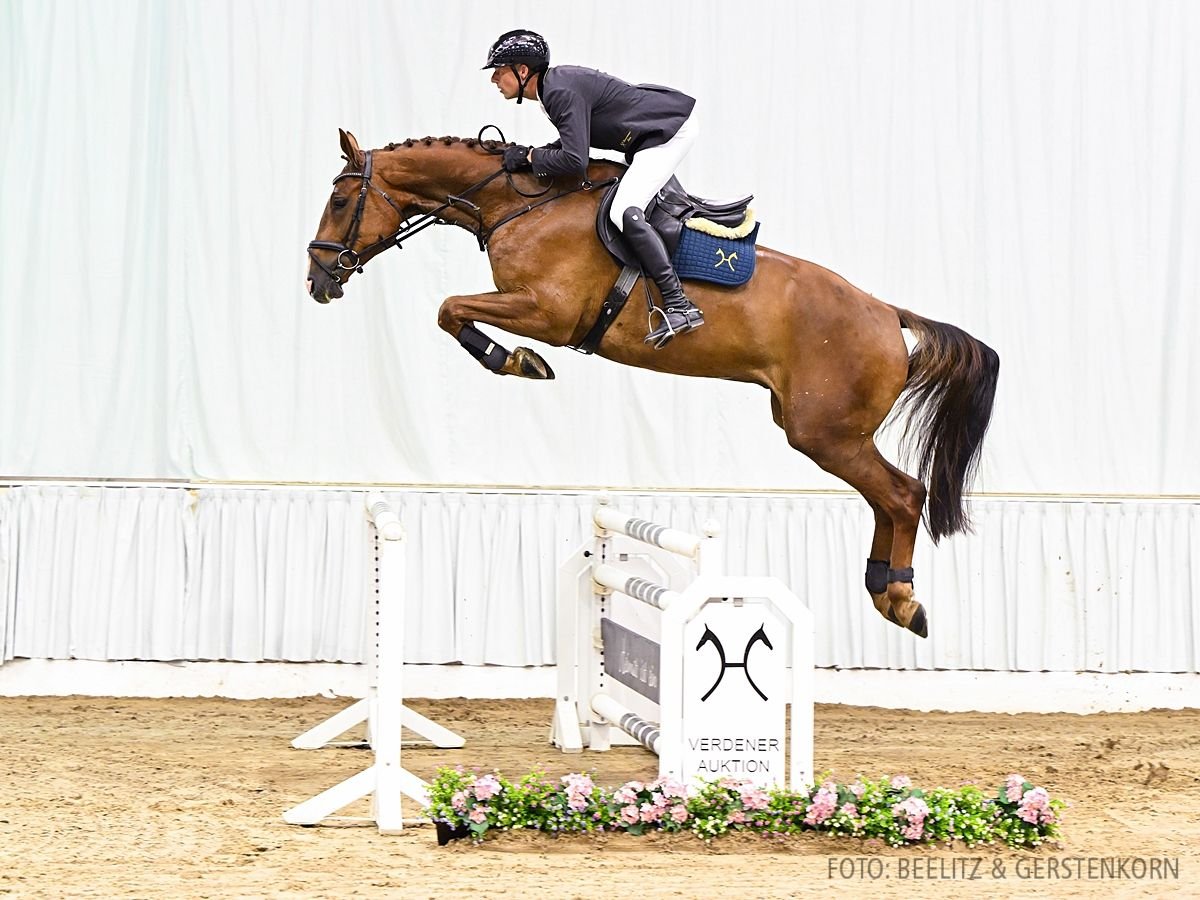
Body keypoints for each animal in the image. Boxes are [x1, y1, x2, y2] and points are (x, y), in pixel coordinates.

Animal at [304, 128, 998, 643]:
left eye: (338, 202)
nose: (318, 280)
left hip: (824, 434)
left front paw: (518, 361)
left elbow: (450, 309)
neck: (521, 203)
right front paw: (519, 361)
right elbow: (450, 310)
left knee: (902, 495)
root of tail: (887, 313)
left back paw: (901, 597)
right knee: (886, 499)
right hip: (824, 431)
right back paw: (885, 589)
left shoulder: (548, 312)